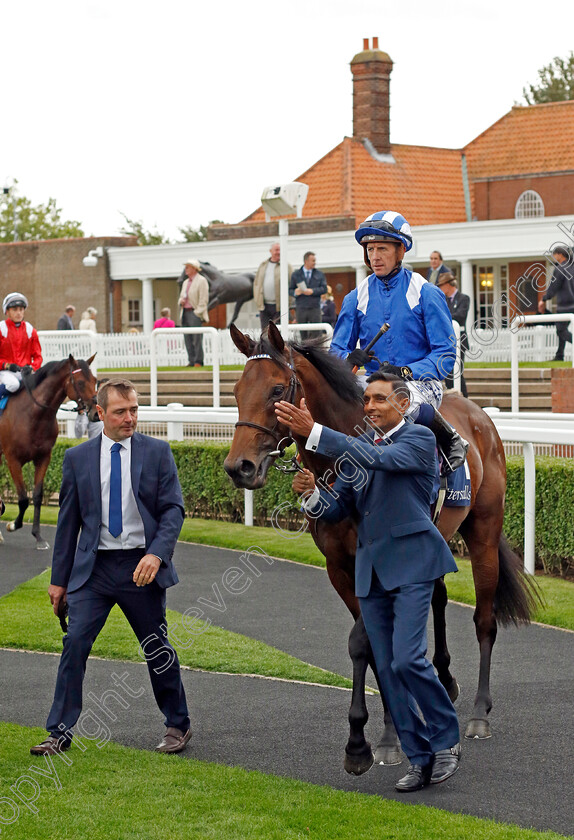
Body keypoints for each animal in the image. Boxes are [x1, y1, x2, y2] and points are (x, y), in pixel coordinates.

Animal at [0, 354, 98, 552]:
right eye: (80, 382)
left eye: (95, 380)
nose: (96, 413)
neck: (32, 415)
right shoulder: (12, 459)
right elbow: (23, 499)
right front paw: (12, 525)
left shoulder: (44, 457)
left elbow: (37, 496)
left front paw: (38, 536)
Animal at [224, 322, 540, 776]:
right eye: (235, 389)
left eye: (277, 389)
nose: (239, 467)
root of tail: (481, 418)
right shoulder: (340, 567)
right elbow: (377, 645)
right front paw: (390, 731)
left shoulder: (373, 562)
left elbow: (366, 642)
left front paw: (366, 742)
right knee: (438, 596)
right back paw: (445, 681)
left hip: (483, 529)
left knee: (484, 619)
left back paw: (480, 713)